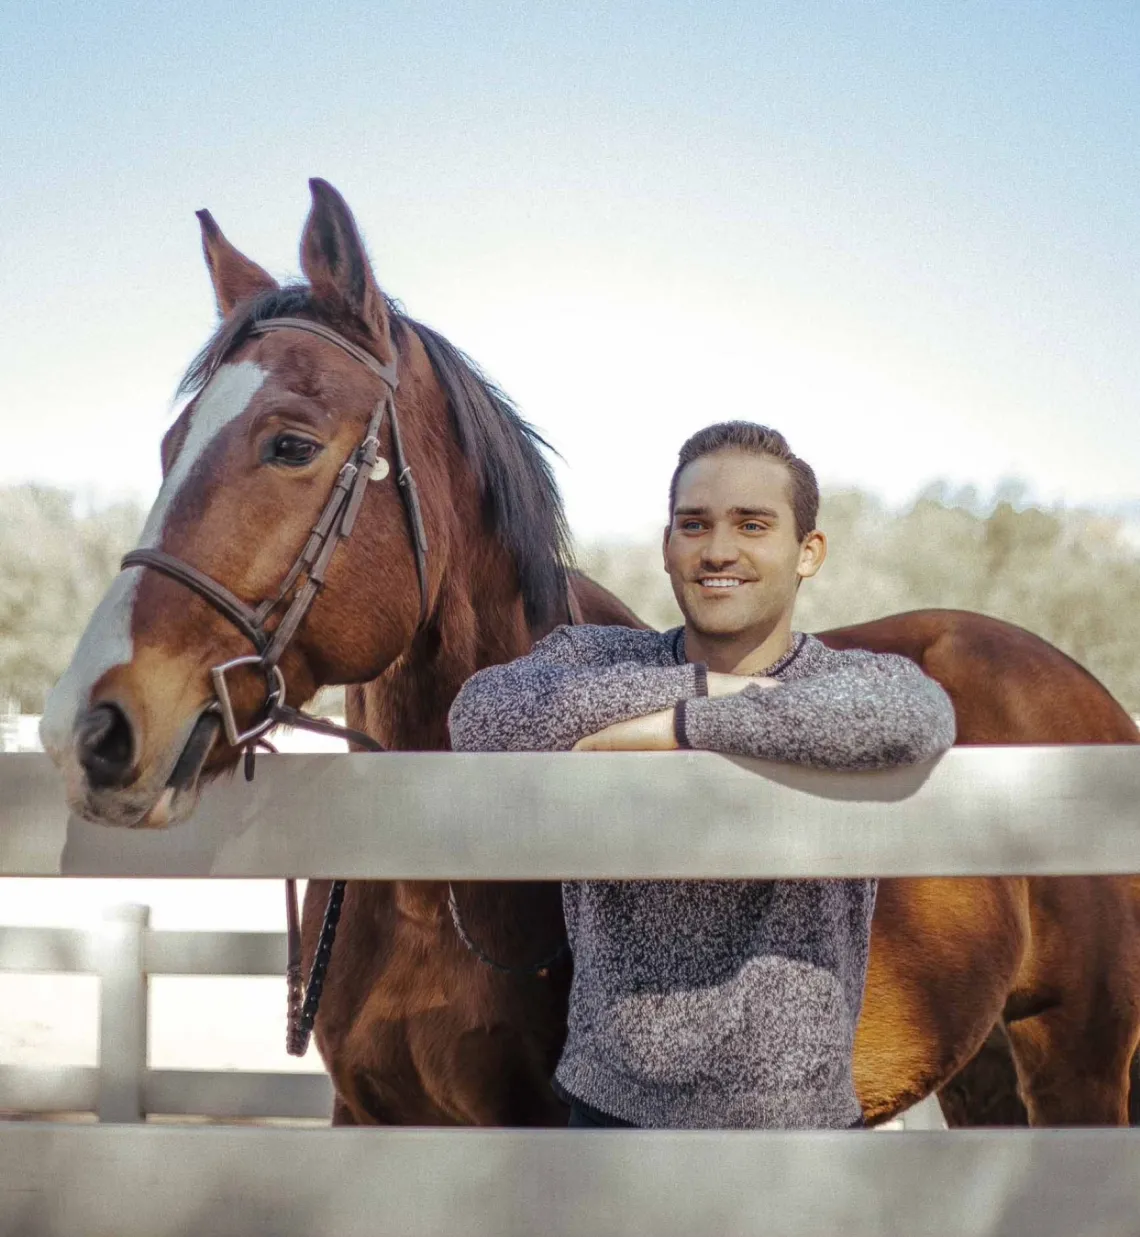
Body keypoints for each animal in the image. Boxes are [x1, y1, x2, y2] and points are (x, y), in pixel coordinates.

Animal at [39, 179, 1137, 1128]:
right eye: (171, 444)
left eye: (292, 444)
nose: (89, 727)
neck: (437, 871)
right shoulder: (372, 1116)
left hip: (1078, 1065)